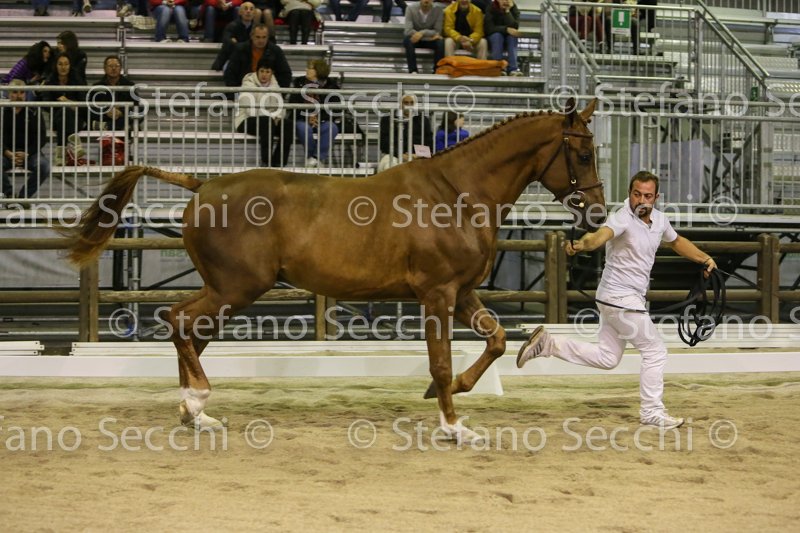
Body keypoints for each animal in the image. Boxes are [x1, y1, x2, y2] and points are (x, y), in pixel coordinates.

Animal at [66, 99, 606, 443]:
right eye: (582, 153)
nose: (598, 214)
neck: (457, 193)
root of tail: (203, 184)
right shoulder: (437, 295)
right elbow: (441, 360)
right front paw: (452, 425)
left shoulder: (464, 293)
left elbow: (496, 340)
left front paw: (450, 393)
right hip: (237, 288)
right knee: (181, 322)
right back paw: (197, 402)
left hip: (226, 289)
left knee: (191, 332)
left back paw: (195, 415)